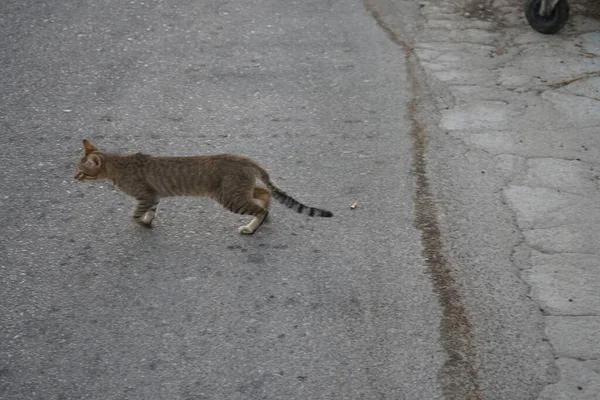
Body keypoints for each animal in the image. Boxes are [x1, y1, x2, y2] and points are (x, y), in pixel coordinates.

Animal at [74, 141, 332, 234]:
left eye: (81, 171)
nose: (74, 177)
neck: (118, 165)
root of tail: (246, 159)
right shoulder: (154, 196)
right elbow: (150, 212)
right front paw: (148, 222)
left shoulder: (145, 195)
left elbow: (135, 215)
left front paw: (143, 224)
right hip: (239, 191)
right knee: (265, 193)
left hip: (230, 197)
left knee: (261, 208)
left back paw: (251, 228)